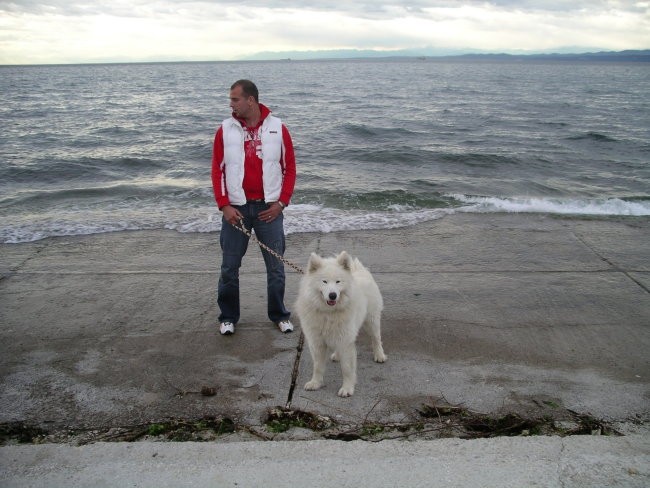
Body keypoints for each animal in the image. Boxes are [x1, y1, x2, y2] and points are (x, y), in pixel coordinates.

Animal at [294, 252, 384, 396]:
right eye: (324, 281)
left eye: (338, 281)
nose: (332, 295)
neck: (328, 313)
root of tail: (359, 270)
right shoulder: (317, 342)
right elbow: (317, 367)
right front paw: (315, 383)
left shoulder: (345, 341)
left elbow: (347, 368)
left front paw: (347, 388)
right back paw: (336, 355)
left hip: (371, 320)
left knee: (376, 338)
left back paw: (380, 355)